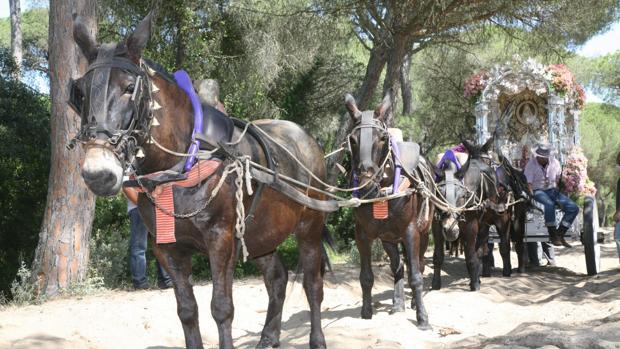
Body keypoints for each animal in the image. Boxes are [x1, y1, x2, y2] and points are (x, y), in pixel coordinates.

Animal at [72, 14, 330, 348]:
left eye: (129, 87)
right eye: (80, 92)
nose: (98, 173)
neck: (183, 163)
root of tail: (308, 139)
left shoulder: (221, 239)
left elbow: (221, 308)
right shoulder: (168, 248)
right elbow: (186, 310)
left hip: (310, 225)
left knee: (313, 284)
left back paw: (317, 339)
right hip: (260, 234)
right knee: (276, 278)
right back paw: (268, 336)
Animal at [344, 94, 436, 328]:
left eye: (383, 138)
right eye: (353, 139)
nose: (367, 186)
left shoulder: (411, 232)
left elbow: (416, 275)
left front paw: (422, 316)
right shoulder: (362, 234)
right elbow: (366, 276)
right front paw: (366, 311)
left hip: (423, 232)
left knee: (419, 264)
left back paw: (412, 302)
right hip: (389, 239)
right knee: (398, 266)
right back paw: (398, 302)